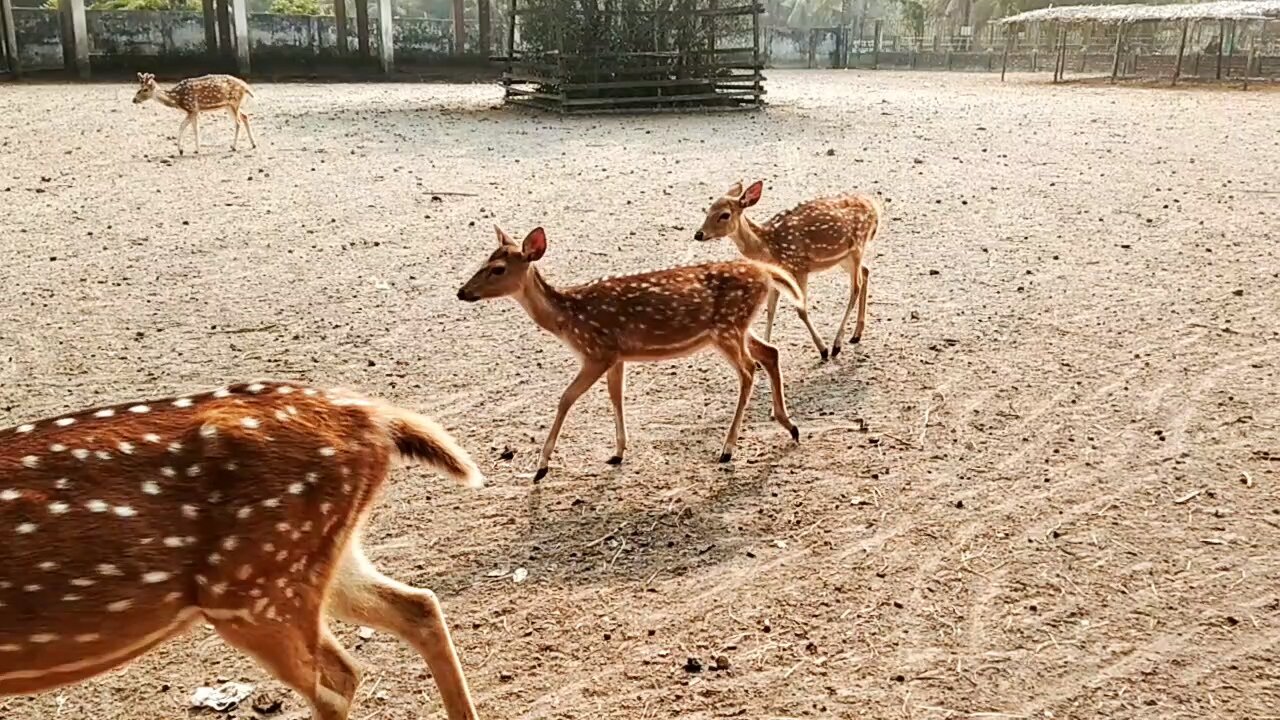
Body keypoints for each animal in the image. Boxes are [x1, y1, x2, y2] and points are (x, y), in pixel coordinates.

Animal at [458, 226, 798, 479]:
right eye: (484, 260)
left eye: (498, 269)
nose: (462, 292)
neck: (568, 319)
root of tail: (764, 271)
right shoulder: (618, 356)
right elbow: (615, 396)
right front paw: (618, 452)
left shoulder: (597, 351)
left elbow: (566, 397)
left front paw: (541, 466)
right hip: (737, 328)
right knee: (770, 352)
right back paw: (789, 426)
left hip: (727, 328)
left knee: (749, 369)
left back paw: (728, 448)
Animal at [696, 179, 885, 358]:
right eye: (708, 210)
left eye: (725, 215)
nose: (698, 234)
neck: (768, 247)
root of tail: (874, 207)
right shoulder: (776, 276)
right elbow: (770, 311)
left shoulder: (799, 266)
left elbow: (801, 309)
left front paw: (822, 349)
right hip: (844, 258)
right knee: (866, 271)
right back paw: (856, 335)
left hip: (857, 247)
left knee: (856, 287)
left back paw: (837, 345)